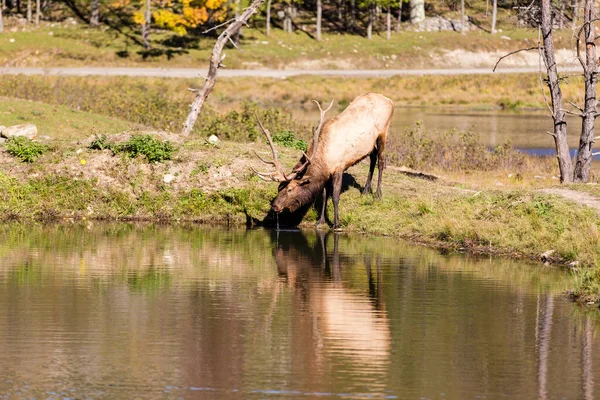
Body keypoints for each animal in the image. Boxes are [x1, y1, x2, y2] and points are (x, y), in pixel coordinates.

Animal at [252, 91, 394, 228]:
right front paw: (320, 221)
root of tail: (389, 100)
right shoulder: (326, 173)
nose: (275, 206)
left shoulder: (339, 167)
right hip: (370, 143)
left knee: (381, 161)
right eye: (278, 188)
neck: (324, 157)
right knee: (373, 156)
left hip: (383, 132)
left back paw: (378, 194)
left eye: (290, 189)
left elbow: (335, 196)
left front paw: (336, 223)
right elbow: (325, 196)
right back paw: (365, 190)